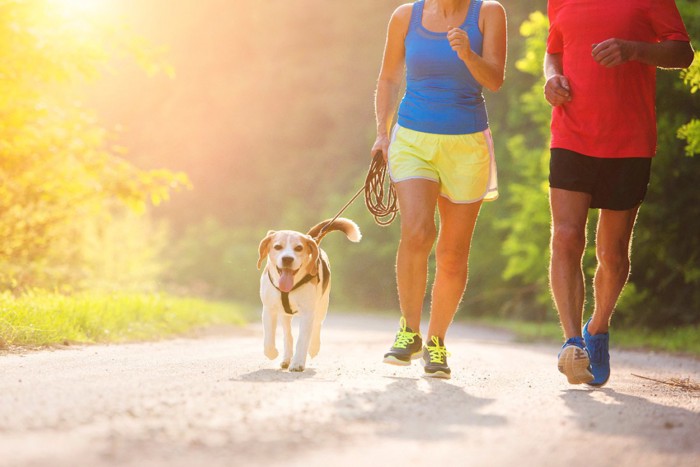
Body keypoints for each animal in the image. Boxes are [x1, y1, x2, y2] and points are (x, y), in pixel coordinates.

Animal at [258, 218, 360, 372]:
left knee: (317, 326)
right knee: (288, 335)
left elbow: (302, 340)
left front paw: (297, 363)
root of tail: (312, 238)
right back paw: (286, 358)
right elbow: (269, 339)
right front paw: (272, 353)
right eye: (277, 247)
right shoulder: (269, 309)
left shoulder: (307, 313)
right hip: (284, 315)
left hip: (321, 306)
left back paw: (313, 348)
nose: (287, 259)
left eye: (299, 248)